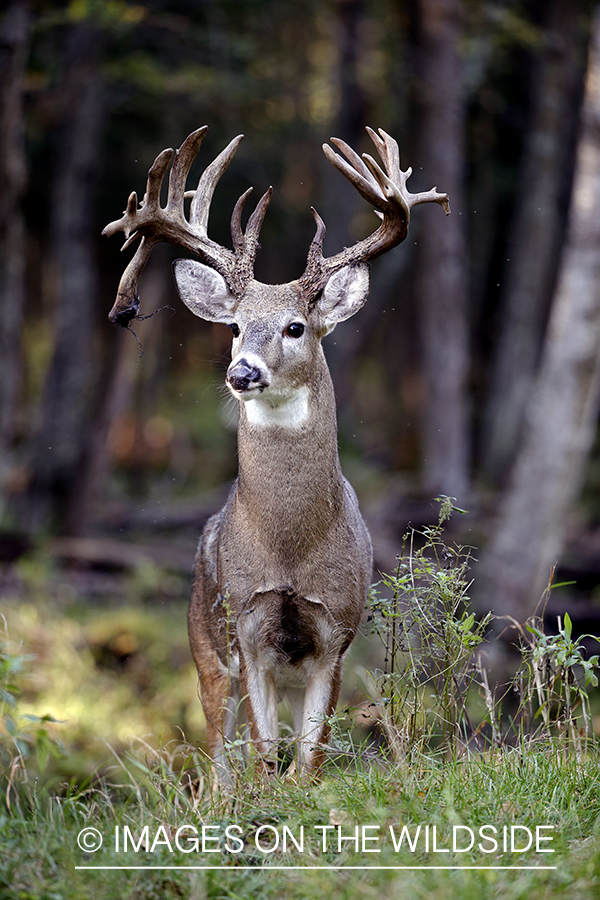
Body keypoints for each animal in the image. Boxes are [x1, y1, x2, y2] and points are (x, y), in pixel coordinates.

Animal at [104, 126, 450, 780]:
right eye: (236, 326)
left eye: (295, 327)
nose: (242, 372)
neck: (290, 549)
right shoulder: (246, 629)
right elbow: (265, 755)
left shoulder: (336, 633)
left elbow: (309, 758)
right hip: (203, 642)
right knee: (218, 764)